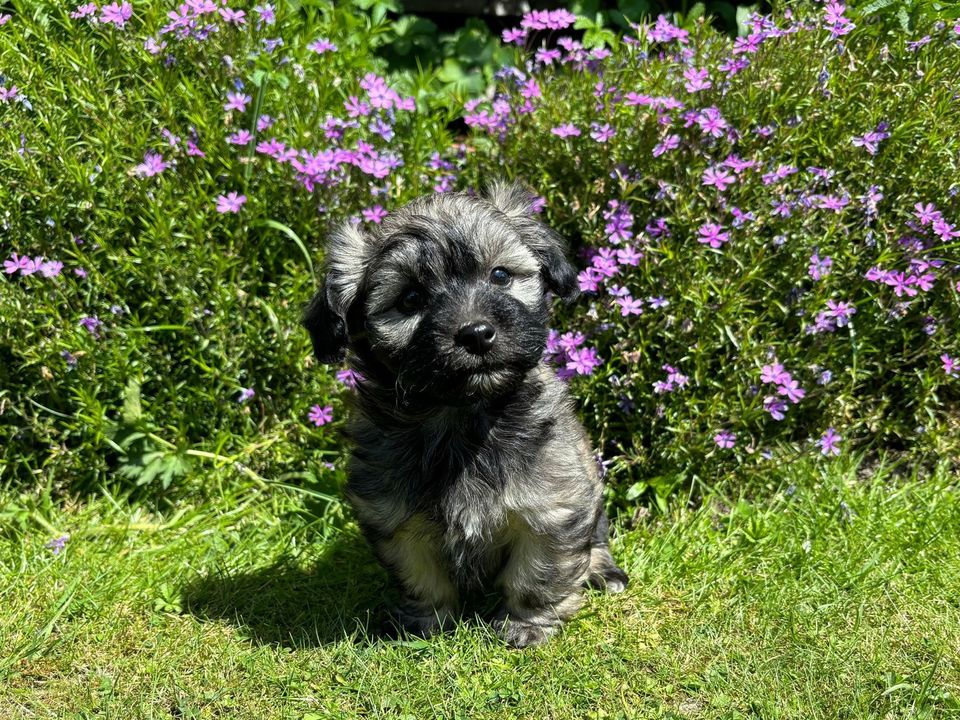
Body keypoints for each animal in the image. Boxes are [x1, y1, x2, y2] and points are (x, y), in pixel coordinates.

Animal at [304, 180, 628, 648]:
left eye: (500, 276)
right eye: (411, 299)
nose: (476, 333)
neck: (462, 420)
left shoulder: (554, 507)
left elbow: (539, 573)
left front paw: (527, 624)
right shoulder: (393, 514)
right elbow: (419, 575)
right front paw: (425, 622)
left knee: (596, 542)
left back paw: (604, 572)